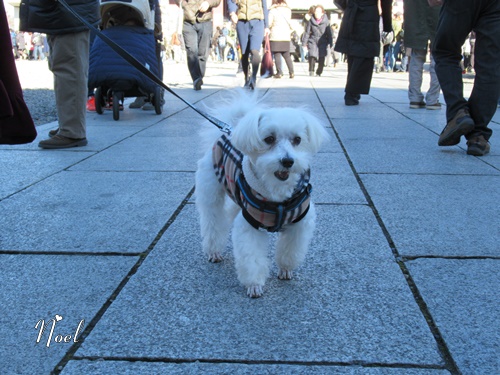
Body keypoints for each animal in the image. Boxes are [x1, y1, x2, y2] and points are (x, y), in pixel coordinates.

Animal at [194, 92, 328, 300]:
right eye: (269, 139)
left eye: (297, 139)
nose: (288, 161)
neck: (277, 196)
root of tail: (227, 131)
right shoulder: (250, 224)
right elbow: (252, 257)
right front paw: (254, 285)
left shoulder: (301, 221)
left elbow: (291, 250)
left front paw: (285, 269)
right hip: (210, 191)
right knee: (213, 222)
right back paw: (214, 251)